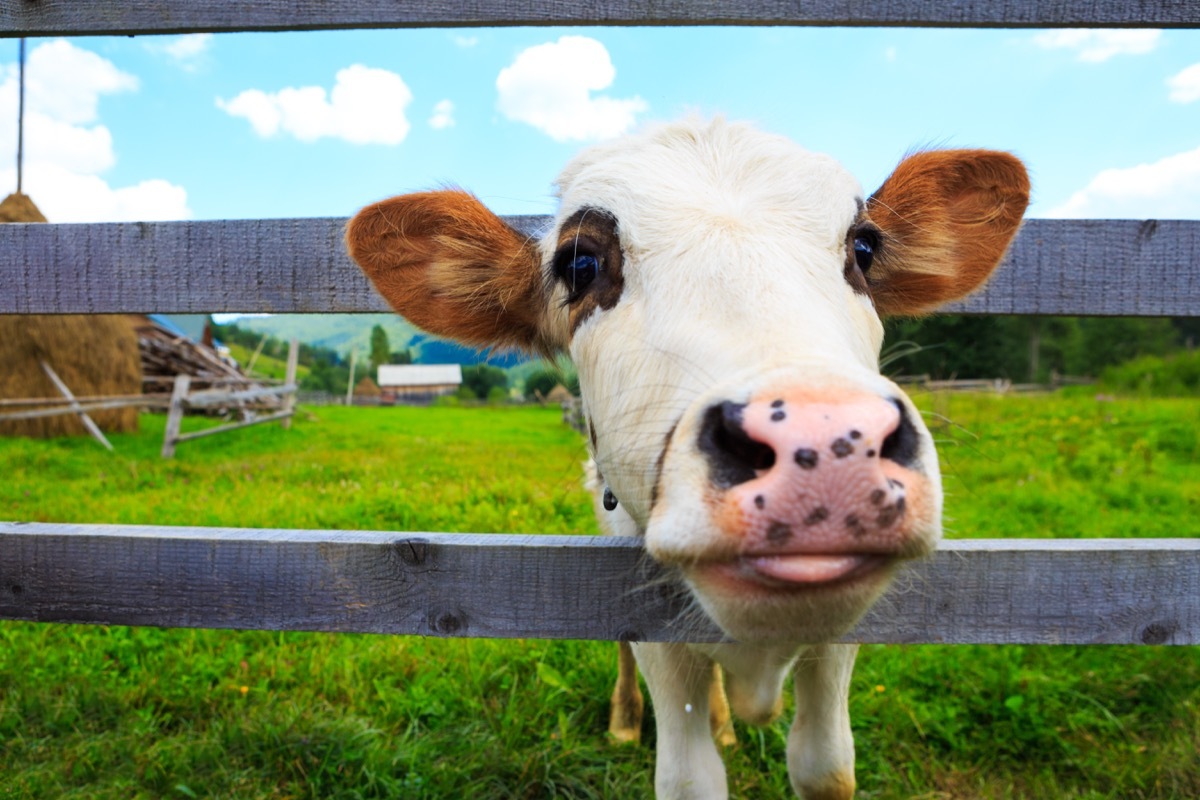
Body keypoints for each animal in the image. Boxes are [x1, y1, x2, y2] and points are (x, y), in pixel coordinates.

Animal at [343, 118, 1027, 800]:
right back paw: (625, 719)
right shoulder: (650, 620)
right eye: (580, 263)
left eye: (863, 248)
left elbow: (826, 768)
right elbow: (688, 776)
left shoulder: (841, 642)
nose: (823, 442)